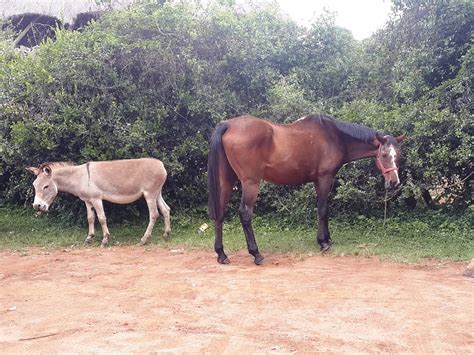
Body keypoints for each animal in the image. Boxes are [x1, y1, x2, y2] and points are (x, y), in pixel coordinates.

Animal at [207, 115, 404, 266]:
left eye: (398, 155)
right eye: (384, 155)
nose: (394, 182)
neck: (335, 136)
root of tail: (228, 124)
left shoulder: (320, 181)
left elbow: (324, 209)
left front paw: (327, 239)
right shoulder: (324, 178)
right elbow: (322, 209)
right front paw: (323, 243)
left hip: (226, 181)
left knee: (220, 214)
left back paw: (221, 254)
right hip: (251, 183)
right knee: (245, 214)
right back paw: (256, 254)